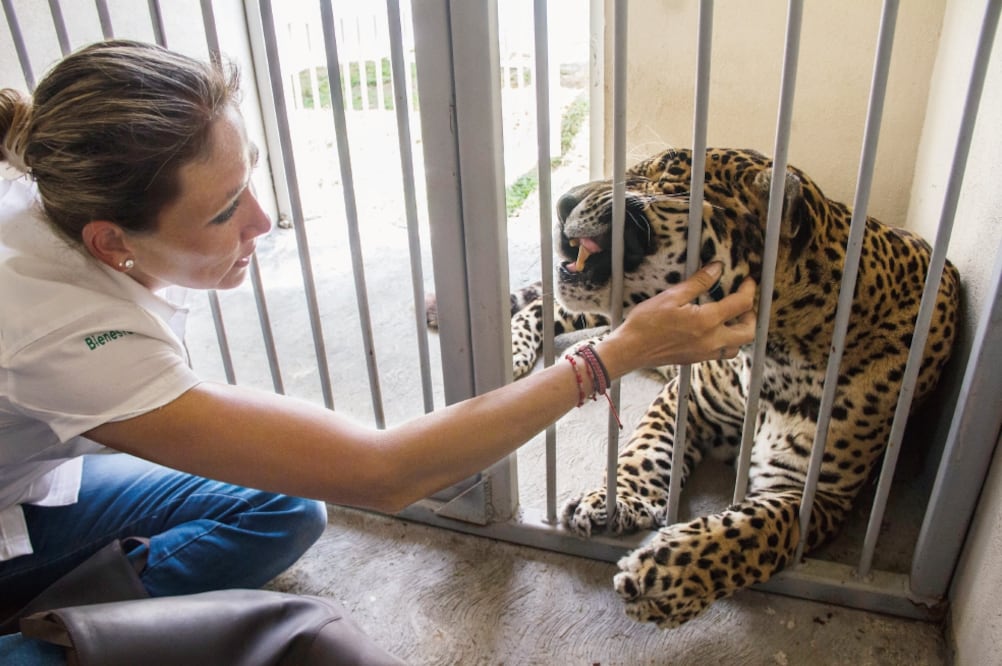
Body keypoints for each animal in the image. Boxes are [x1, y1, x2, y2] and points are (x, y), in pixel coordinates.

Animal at [505, 147, 960, 628]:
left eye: (663, 173)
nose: (563, 203)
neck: (779, 351)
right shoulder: (688, 398)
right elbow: (645, 450)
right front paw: (616, 500)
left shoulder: (816, 491)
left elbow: (757, 528)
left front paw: (667, 577)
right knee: (548, 305)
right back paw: (517, 348)